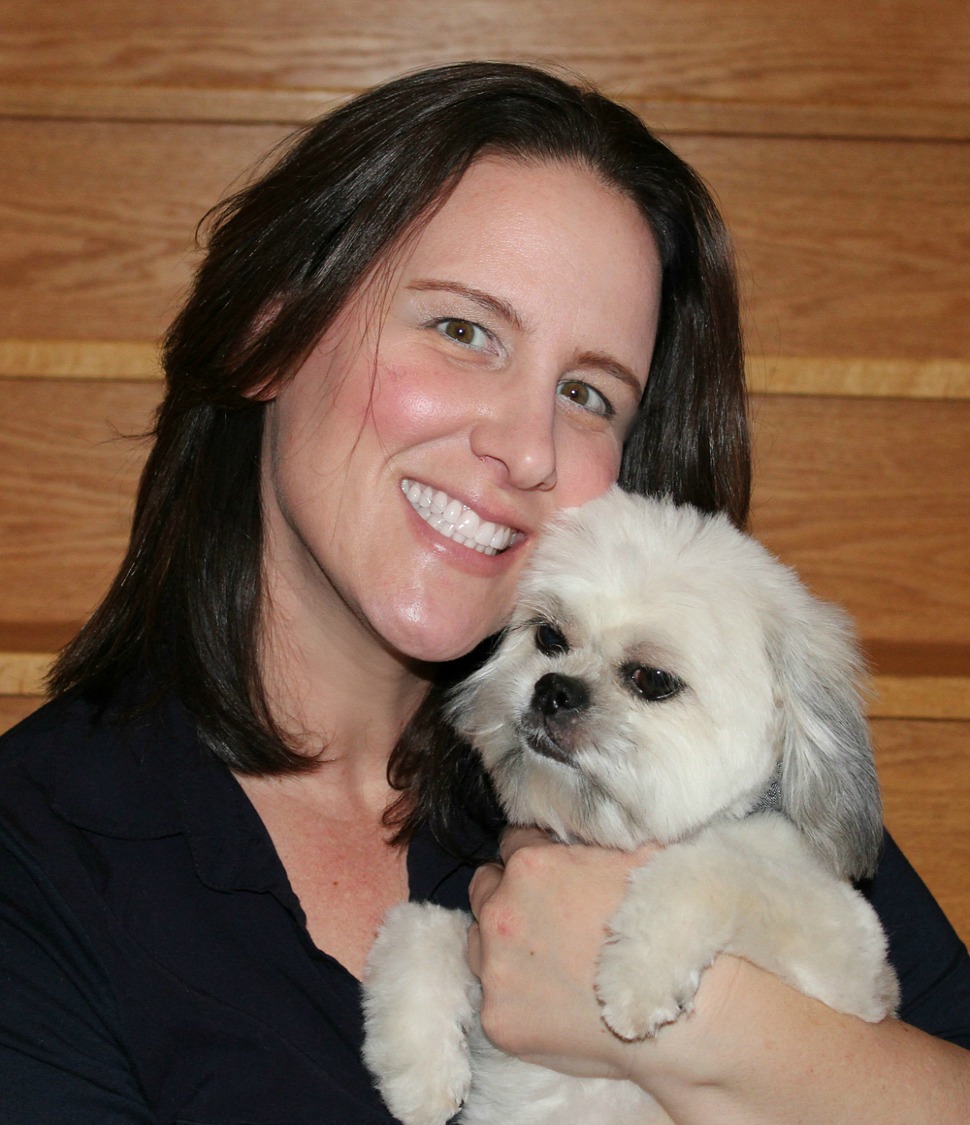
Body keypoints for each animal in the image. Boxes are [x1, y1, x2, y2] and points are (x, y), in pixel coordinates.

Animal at [363, 487, 899, 1125]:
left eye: (653, 679)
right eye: (548, 637)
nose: (553, 689)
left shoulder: (854, 960)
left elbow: (718, 864)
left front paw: (638, 978)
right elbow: (423, 927)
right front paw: (418, 1067)